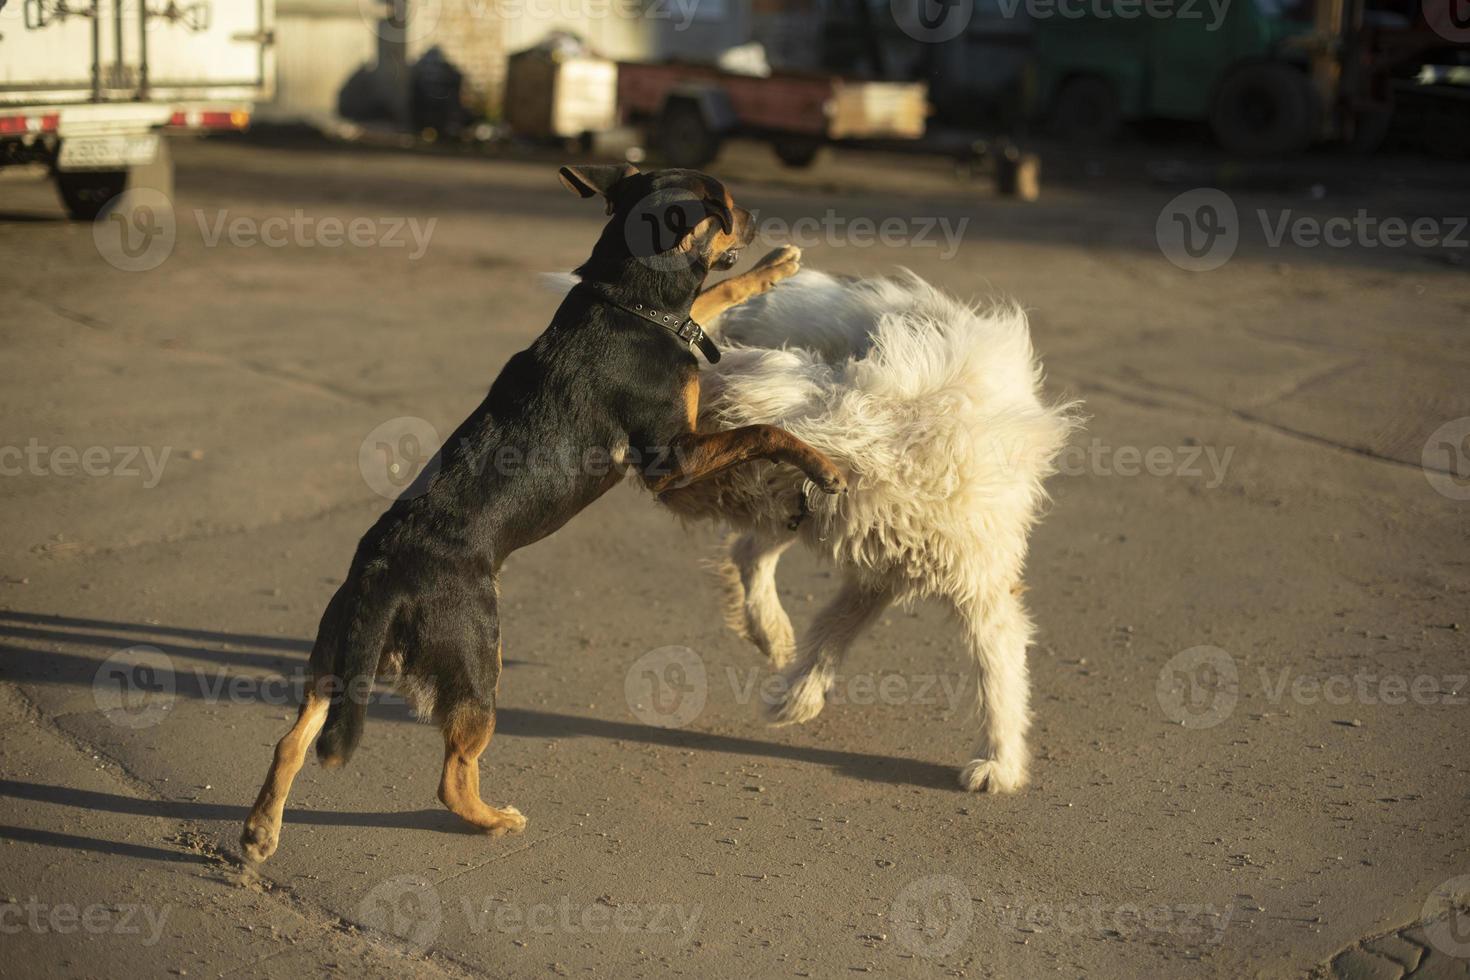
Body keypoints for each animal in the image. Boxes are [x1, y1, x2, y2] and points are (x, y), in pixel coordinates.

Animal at [238, 164, 840, 863]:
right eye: (726, 207)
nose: (755, 218)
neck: (626, 302)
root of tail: (383, 572)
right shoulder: (673, 458)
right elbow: (767, 430)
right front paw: (825, 466)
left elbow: (713, 299)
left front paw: (774, 268)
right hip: (478, 662)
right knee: (452, 775)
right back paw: (493, 820)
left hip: (336, 655)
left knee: (291, 738)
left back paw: (261, 829)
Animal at [658, 268, 1081, 799]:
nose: (653, 479)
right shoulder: (873, 556)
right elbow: (833, 628)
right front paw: (799, 696)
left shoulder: (958, 577)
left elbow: (994, 668)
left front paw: (997, 763)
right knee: (750, 552)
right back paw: (769, 630)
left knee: (750, 550)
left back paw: (771, 633)